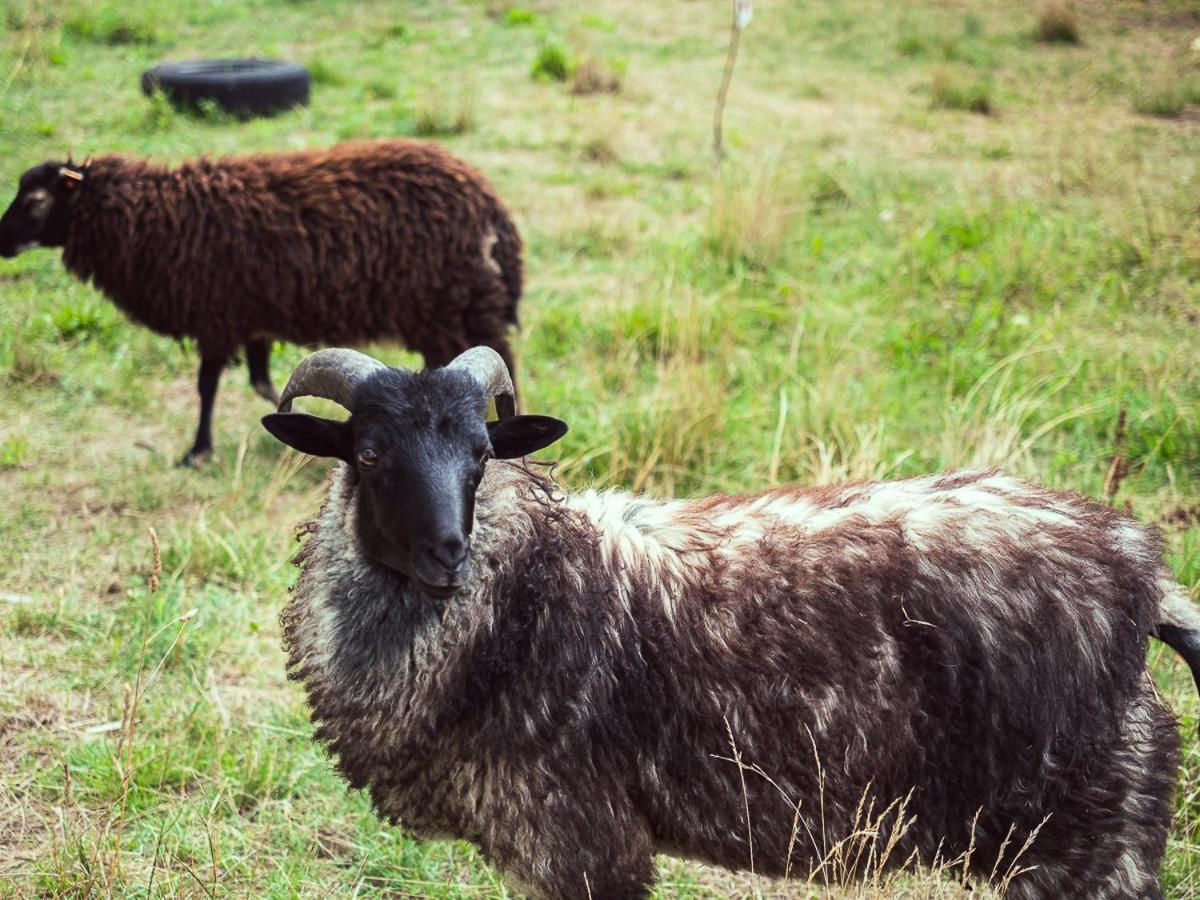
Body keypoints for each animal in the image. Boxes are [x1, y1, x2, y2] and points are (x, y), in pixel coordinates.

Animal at [0, 142, 525, 465]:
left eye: (37, 201)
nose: (1, 243)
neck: (157, 219)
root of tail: (490, 204)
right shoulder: (250, 320)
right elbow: (263, 383)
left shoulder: (216, 317)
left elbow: (207, 387)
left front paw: (197, 453)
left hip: (451, 306)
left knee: (500, 362)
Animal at [262, 348, 1200, 900]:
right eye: (370, 453)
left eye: (483, 455)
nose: (448, 554)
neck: (523, 587)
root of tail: (1143, 574)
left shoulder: (581, 837)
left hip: (1088, 846)